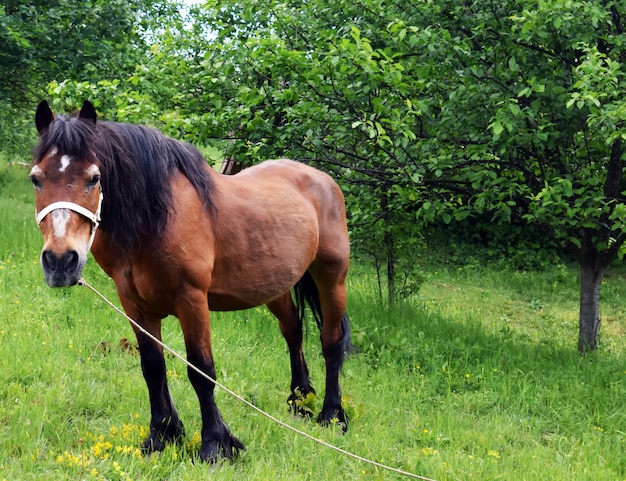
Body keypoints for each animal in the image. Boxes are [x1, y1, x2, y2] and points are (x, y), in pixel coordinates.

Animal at [29, 100, 352, 462]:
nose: (60, 261)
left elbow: (201, 370)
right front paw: (161, 435)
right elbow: (153, 367)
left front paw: (215, 444)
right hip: (275, 286)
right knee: (293, 332)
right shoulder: (133, 303)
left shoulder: (191, 299)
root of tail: (322, 179)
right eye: (36, 179)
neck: (154, 218)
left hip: (332, 278)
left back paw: (332, 416)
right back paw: (300, 401)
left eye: (94, 178)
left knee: (330, 342)